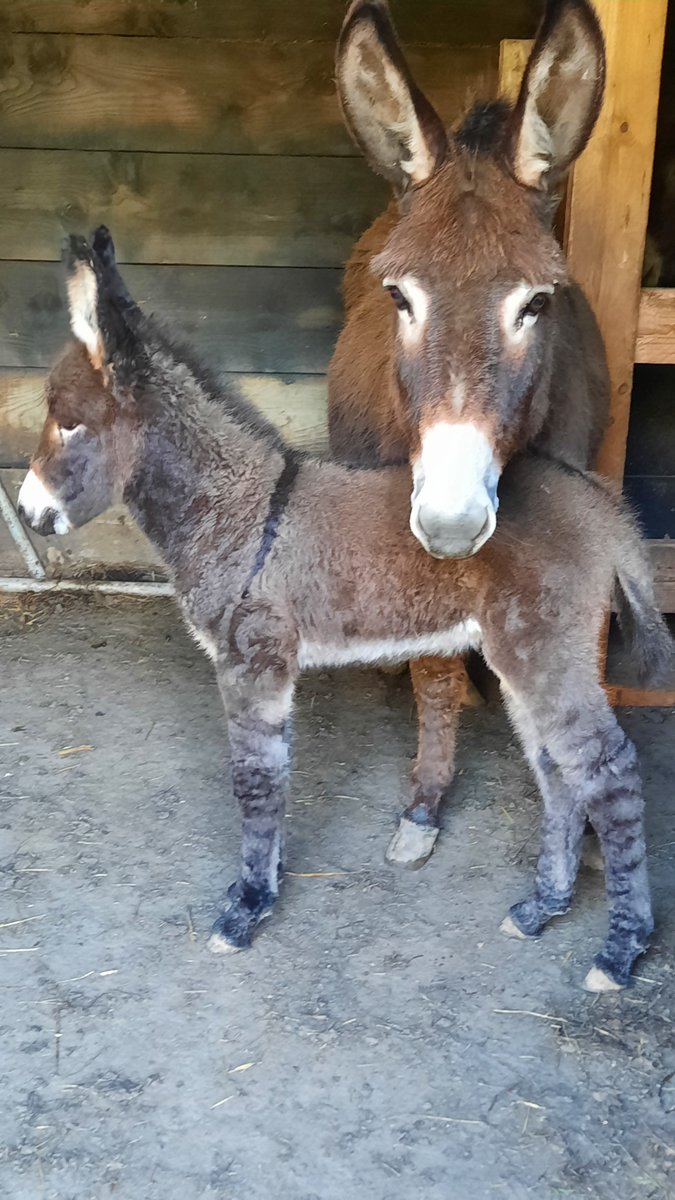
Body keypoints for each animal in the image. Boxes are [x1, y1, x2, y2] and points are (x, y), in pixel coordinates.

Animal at [18, 229, 667, 988]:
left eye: (69, 424)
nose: (27, 513)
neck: (238, 510)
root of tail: (599, 505)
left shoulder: (253, 663)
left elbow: (255, 783)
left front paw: (246, 909)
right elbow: (273, 777)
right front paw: (259, 892)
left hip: (546, 654)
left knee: (609, 771)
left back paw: (619, 951)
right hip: (521, 656)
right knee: (557, 769)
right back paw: (541, 908)